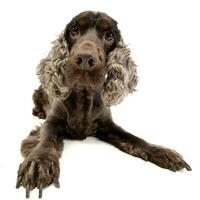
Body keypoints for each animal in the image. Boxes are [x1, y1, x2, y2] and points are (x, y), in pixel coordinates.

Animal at [16, 10, 191, 198]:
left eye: (109, 36)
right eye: (74, 30)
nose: (85, 58)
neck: (84, 94)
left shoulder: (108, 126)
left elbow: (134, 138)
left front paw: (161, 152)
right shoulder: (52, 122)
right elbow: (45, 140)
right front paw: (38, 164)